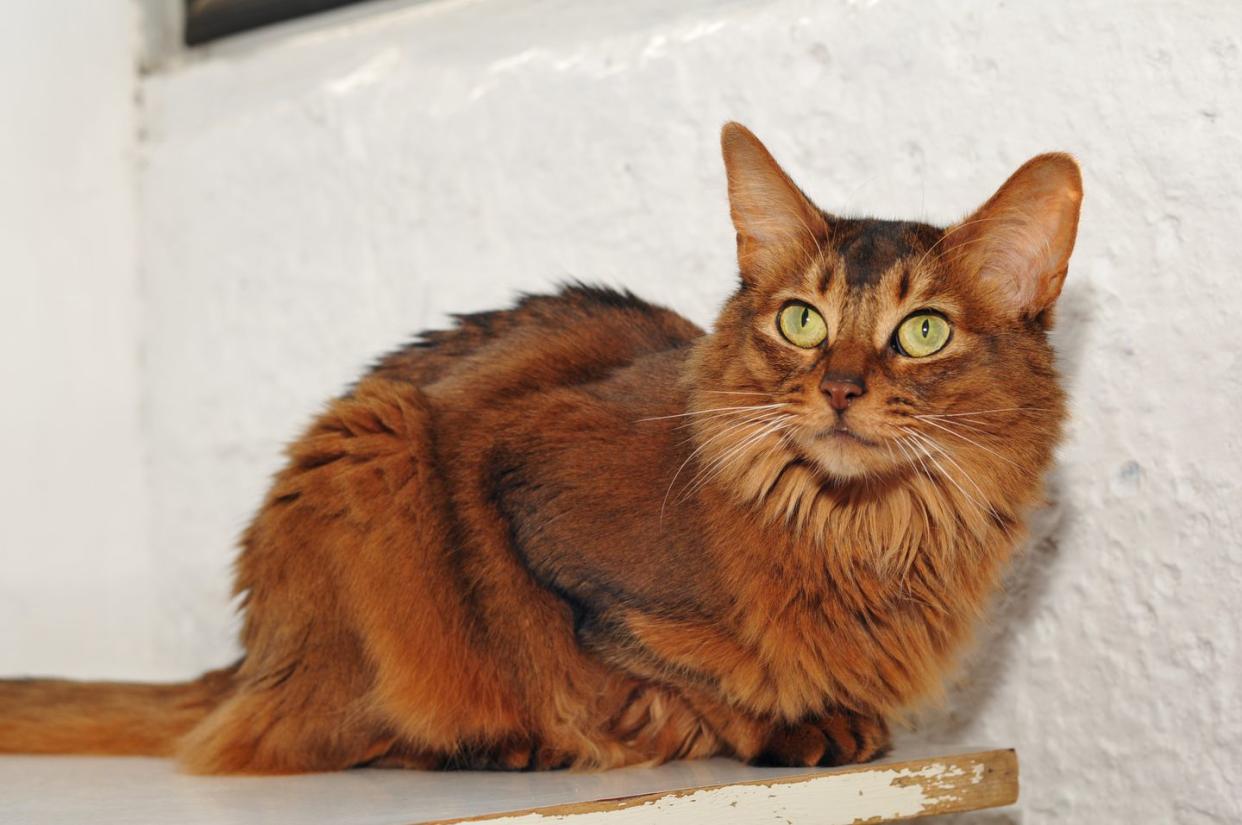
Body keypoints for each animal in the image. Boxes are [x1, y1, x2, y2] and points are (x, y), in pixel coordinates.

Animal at [0, 124, 1083, 775]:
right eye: (802, 321)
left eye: (924, 332)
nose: (843, 388)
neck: (861, 533)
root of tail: (249, 656)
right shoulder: (522, 489)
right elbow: (644, 657)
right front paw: (774, 723)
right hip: (374, 446)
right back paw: (496, 747)